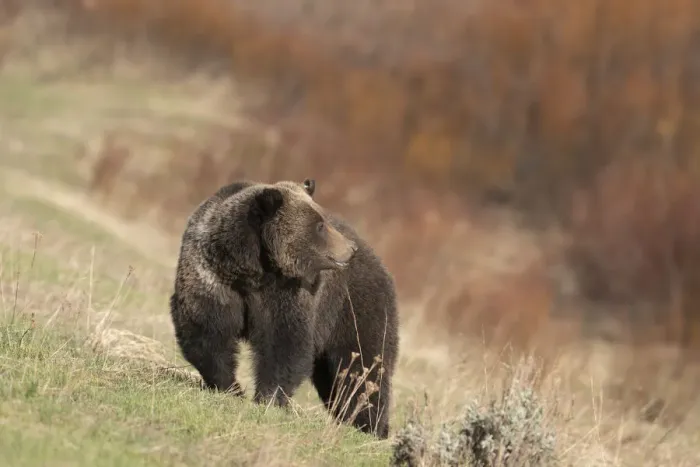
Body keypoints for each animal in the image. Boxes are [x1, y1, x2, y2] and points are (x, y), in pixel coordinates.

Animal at [169, 178, 400, 439]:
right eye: (320, 225)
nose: (350, 249)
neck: (253, 270)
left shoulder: (288, 292)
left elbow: (284, 343)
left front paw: (267, 397)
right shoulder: (213, 277)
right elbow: (206, 332)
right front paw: (230, 387)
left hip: (355, 308)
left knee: (363, 366)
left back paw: (369, 425)